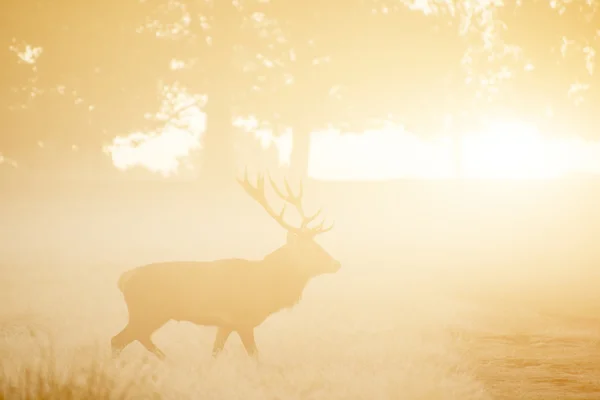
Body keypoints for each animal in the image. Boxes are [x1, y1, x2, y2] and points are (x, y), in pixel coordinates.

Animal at [110, 171, 340, 360]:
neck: (266, 287)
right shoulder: (242, 320)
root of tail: (123, 279)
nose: (336, 263)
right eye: (309, 249)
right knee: (119, 339)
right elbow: (256, 356)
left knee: (134, 338)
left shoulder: (225, 324)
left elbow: (215, 352)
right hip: (148, 311)